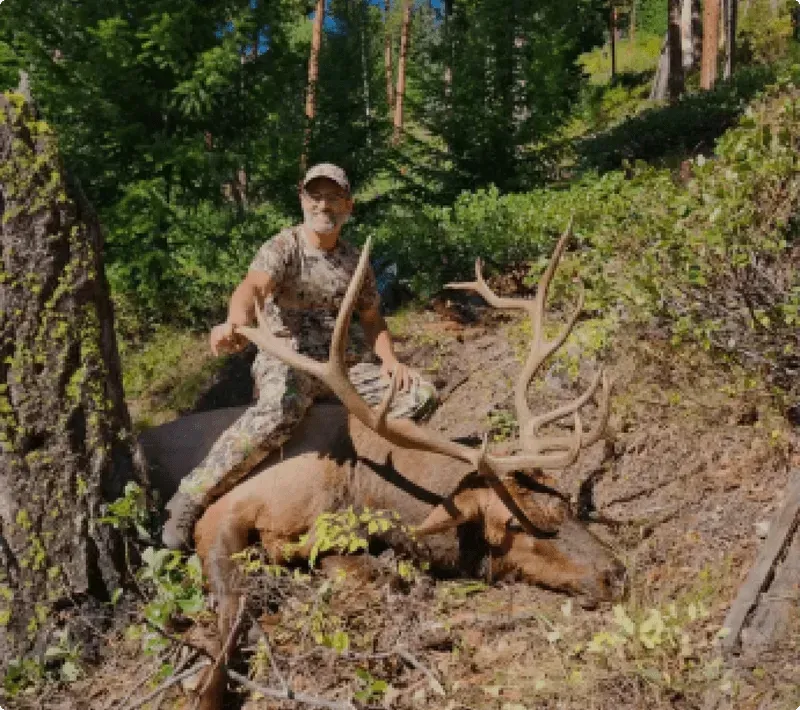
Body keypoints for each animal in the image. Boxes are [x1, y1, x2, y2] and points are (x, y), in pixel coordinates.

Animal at [140, 224, 626, 709]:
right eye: (515, 523)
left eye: (565, 501)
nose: (615, 574)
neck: (359, 483)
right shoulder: (228, 509)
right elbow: (232, 609)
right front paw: (205, 689)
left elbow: (372, 571)